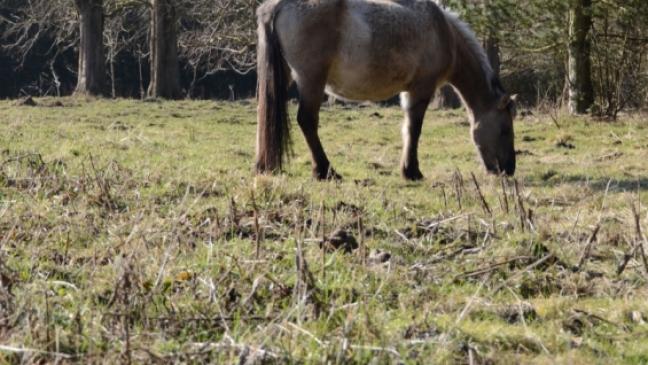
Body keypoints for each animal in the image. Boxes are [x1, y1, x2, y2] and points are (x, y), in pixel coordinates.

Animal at [253, 0, 516, 181]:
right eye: (505, 129)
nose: (509, 169)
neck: (444, 33)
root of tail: (280, 5)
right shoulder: (421, 89)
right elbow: (414, 129)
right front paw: (412, 171)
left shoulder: (409, 92)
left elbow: (407, 129)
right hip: (311, 81)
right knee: (307, 120)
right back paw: (325, 170)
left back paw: (263, 165)